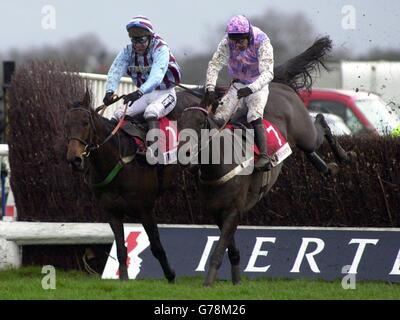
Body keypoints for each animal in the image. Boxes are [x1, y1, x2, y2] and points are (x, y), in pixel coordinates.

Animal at [65, 91, 178, 282]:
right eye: (66, 125)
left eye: (85, 122)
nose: (75, 160)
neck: (119, 160)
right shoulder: (112, 212)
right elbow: (120, 249)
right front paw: (124, 279)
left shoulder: (145, 210)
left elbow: (156, 246)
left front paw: (170, 275)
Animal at [177, 36, 354, 286]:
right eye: (180, 123)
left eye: (201, 123)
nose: (184, 155)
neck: (219, 166)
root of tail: (278, 84)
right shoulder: (217, 212)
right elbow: (230, 248)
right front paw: (236, 279)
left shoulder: (234, 211)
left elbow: (219, 249)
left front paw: (208, 282)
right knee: (310, 149)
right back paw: (328, 167)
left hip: (305, 132)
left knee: (319, 123)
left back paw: (344, 156)